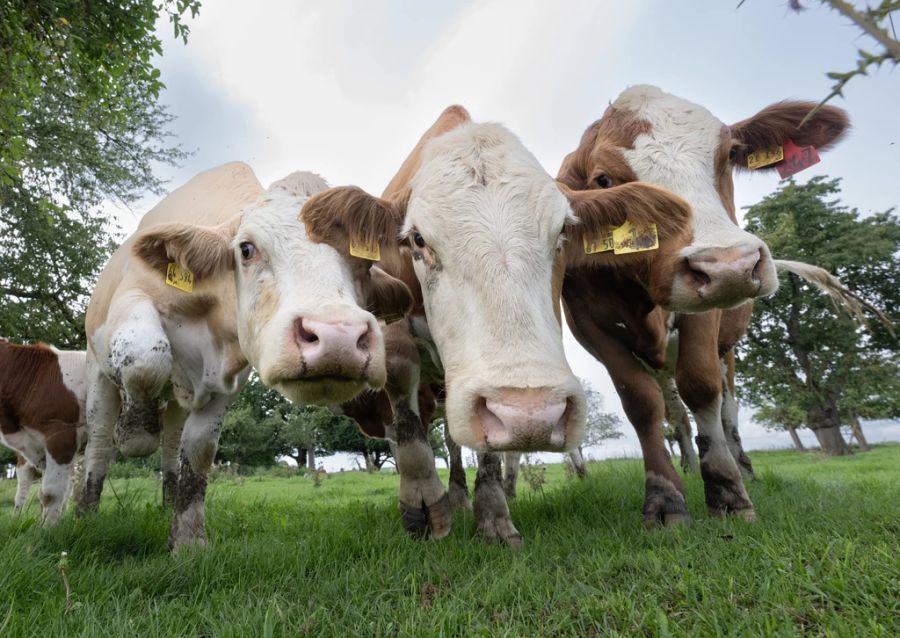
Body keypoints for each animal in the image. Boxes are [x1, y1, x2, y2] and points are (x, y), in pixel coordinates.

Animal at [78, 162, 414, 548]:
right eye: (247, 249)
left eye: (363, 262)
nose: (337, 338)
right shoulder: (131, 300)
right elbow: (145, 356)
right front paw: (135, 432)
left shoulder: (228, 380)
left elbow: (199, 450)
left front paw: (188, 541)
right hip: (96, 369)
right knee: (99, 441)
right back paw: (82, 514)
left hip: (177, 401)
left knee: (172, 444)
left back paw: (167, 502)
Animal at [302, 105, 696, 544]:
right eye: (417, 239)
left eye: (563, 230)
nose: (531, 413)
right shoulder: (396, 339)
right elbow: (410, 431)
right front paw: (423, 508)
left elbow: (486, 449)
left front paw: (492, 515)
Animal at [560, 85, 848, 524]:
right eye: (603, 179)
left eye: (730, 153)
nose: (730, 266)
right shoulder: (591, 326)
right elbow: (641, 402)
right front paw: (665, 499)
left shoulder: (706, 312)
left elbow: (700, 386)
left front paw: (729, 493)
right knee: (674, 411)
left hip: (728, 349)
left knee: (727, 409)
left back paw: (743, 468)